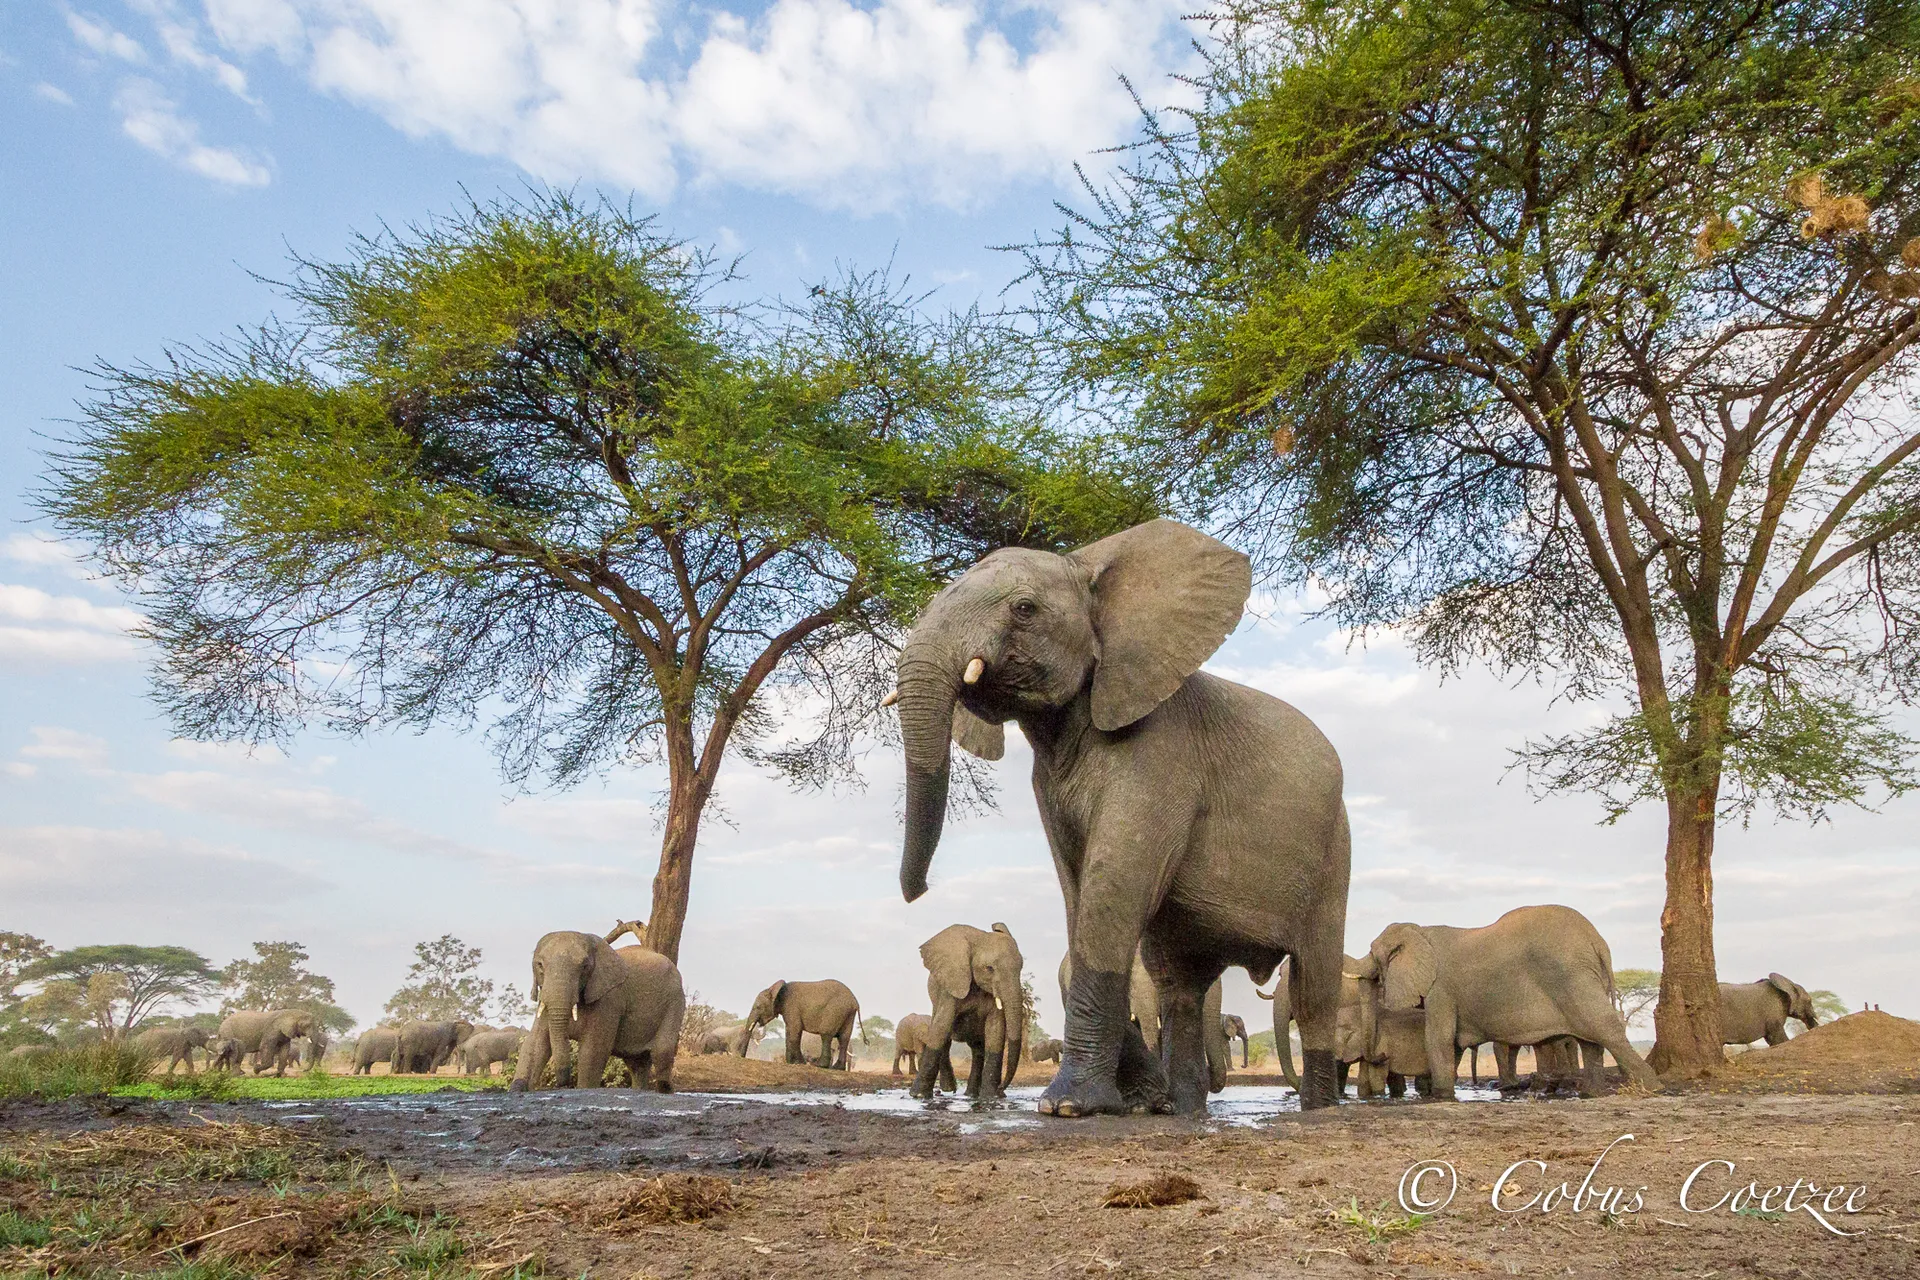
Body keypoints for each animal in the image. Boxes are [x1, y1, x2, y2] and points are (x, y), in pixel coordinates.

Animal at [512, 931, 686, 1092]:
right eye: (540, 965)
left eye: (584, 967)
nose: (562, 1084)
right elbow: (535, 1043)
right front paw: (517, 1087)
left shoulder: (609, 999)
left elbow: (593, 1051)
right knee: (637, 1063)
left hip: (675, 1001)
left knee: (662, 1051)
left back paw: (664, 1090)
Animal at [910, 923, 1028, 1100]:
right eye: (989, 968)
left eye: (1020, 968)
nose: (1001, 1090)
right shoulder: (952, 985)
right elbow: (941, 1029)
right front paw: (918, 1096)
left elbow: (996, 1032)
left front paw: (990, 1097)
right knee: (945, 1038)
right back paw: (950, 1090)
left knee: (978, 1049)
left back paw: (971, 1095)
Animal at [1360, 905, 1659, 1100]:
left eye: (1374, 954)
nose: (1381, 1056)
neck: (1420, 930)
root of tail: (1598, 942)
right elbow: (1452, 1044)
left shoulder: (1441, 988)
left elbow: (1439, 1038)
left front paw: (1440, 1097)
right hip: (1581, 977)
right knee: (1590, 1038)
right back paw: (1590, 1093)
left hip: (1572, 976)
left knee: (1603, 1027)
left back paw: (1652, 1087)